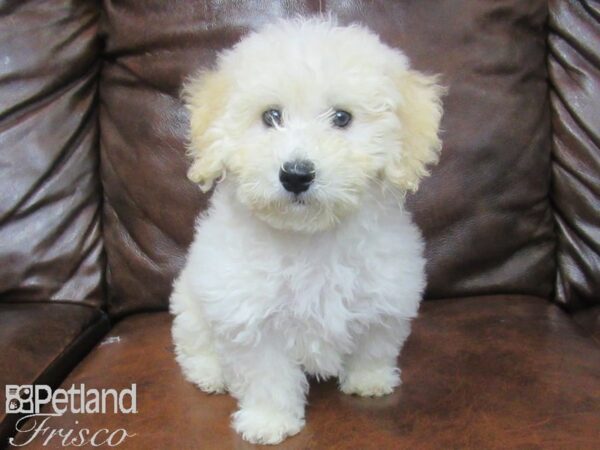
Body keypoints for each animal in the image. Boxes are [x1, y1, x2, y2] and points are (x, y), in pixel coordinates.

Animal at [171, 18, 442, 446]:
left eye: (342, 118)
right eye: (271, 116)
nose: (296, 174)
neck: (311, 238)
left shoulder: (386, 294)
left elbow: (375, 344)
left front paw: (369, 381)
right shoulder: (249, 316)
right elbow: (266, 375)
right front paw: (269, 421)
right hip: (190, 301)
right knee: (194, 344)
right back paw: (211, 374)